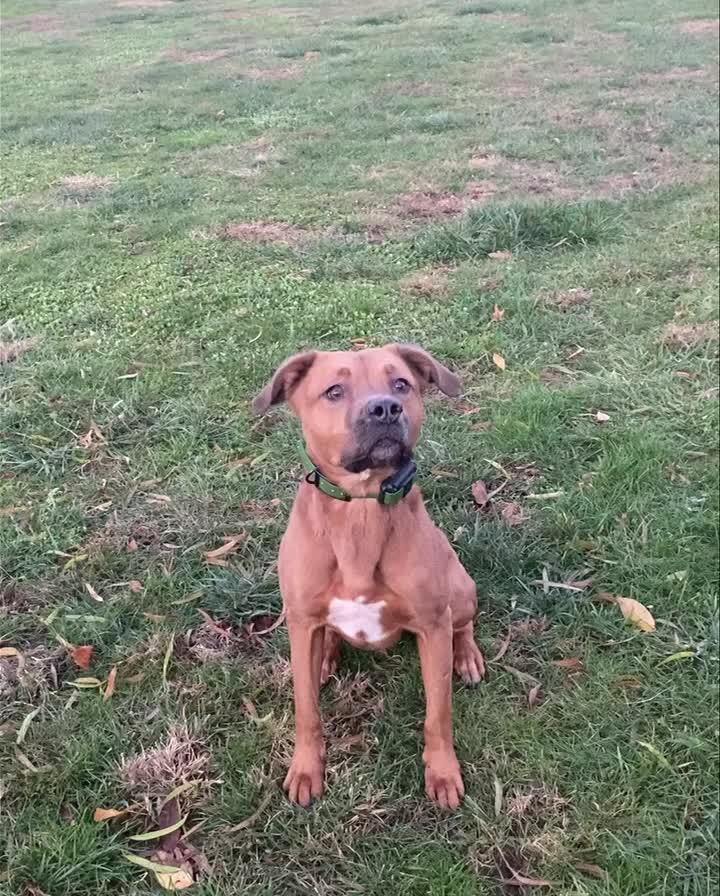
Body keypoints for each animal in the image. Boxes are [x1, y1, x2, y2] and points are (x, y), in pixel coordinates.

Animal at [253, 344, 484, 812]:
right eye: (333, 391)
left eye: (402, 384)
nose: (385, 408)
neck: (360, 509)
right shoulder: (300, 622)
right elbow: (306, 709)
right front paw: (306, 769)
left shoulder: (432, 626)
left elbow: (438, 714)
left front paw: (443, 773)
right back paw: (326, 657)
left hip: (460, 586)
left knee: (464, 623)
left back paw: (467, 655)